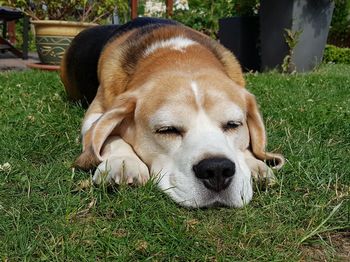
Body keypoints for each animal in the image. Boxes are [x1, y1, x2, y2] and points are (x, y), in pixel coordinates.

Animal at [60, 17, 284, 208]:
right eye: (167, 130)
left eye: (233, 124)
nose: (217, 169)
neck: (177, 54)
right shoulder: (96, 111)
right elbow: (108, 135)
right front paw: (122, 163)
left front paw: (254, 164)